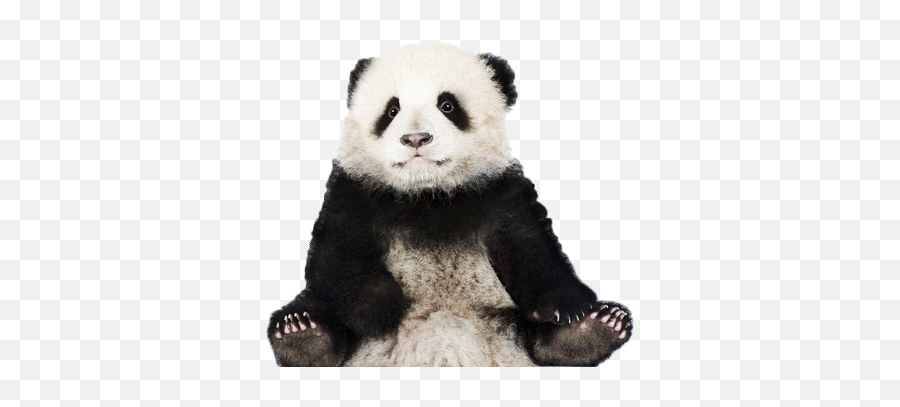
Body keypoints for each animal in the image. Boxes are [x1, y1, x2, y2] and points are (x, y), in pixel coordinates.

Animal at [267, 43, 633, 366]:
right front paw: (378, 308)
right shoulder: (355, 192)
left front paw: (568, 309)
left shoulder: (499, 193)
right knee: (315, 310)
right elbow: (338, 255)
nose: (415, 138)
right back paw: (302, 332)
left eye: (447, 106)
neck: (429, 196)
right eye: (392, 110)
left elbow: (531, 249)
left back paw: (592, 328)